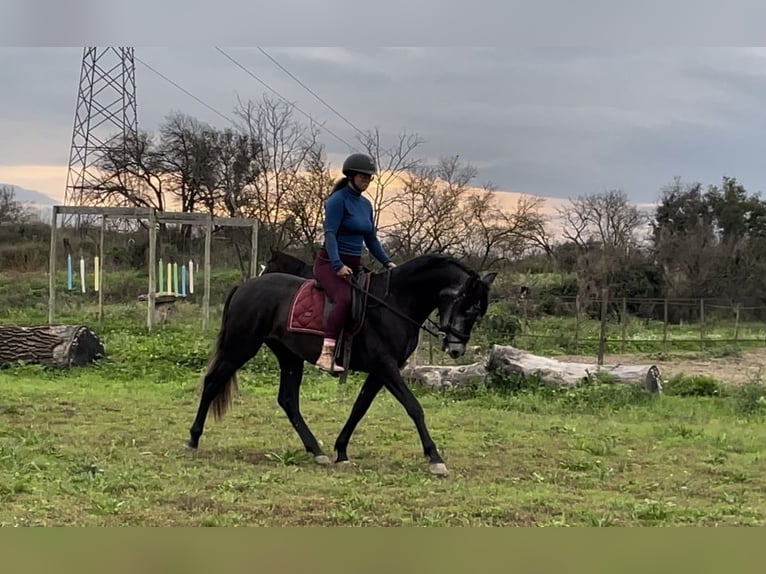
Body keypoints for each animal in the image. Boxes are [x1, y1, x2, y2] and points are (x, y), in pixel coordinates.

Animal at [186, 254, 498, 480]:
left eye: (478, 312)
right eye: (468, 307)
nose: (456, 349)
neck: (395, 301)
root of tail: (245, 285)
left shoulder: (381, 370)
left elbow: (359, 408)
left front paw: (341, 450)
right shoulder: (386, 367)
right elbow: (414, 407)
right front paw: (435, 459)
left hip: (289, 356)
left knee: (288, 400)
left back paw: (317, 451)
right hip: (240, 347)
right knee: (212, 383)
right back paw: (193, 440)